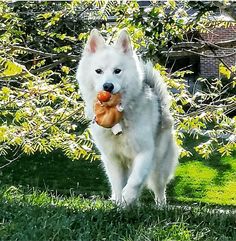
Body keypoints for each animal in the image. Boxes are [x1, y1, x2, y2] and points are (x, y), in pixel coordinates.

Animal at [77, 28, 179, 205]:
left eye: (117, 71)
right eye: (98, 71)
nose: (108, 86)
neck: (119, 116)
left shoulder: (145, 152)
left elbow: (135, 180)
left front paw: (129, 196)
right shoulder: (112, 159)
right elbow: (118, 184)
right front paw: (120, 203)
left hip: (159, 166)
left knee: (160, 189)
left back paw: (160, 206)